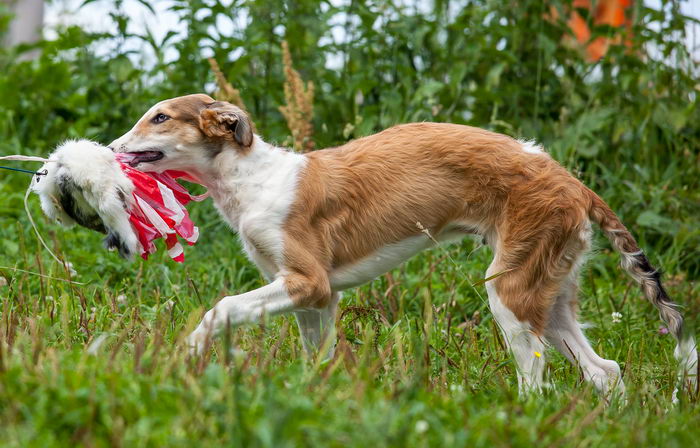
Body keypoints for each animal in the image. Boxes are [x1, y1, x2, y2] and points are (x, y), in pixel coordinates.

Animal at [109, 93, 696, 396]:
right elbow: (318, 360)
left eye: (160, 117)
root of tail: (573, 182)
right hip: (548, 290)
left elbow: (224, 307)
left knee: (537, 376)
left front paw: (186, 352)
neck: (252, 178)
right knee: (605, 371)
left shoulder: (306, 281)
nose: (110, 147)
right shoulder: (316, 297)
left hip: (510, 292)